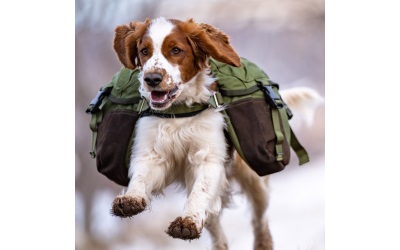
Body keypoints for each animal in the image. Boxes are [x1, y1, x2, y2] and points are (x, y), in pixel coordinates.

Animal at [111, 16, 324, 249]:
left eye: (176, 50)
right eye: (144, 51)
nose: (152, 79)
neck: (180, 112)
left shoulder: (209, 158)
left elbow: (200, 192)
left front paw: (187, 222)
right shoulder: (152, 154)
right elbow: (141, 176)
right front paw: (130, 199)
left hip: (254, 180)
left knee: (260, 219)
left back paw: (262, 242)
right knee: (216, 227)